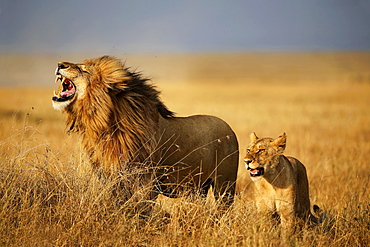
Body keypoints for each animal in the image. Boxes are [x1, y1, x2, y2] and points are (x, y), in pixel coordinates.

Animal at [51, 56, 237, 212]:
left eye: (84, 70)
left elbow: (141, 210)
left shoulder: (146, 181)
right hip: (199, 188)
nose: (60, 64)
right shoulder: (110, 177)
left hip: (224, 186)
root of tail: (230, 129)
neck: (105, 126)